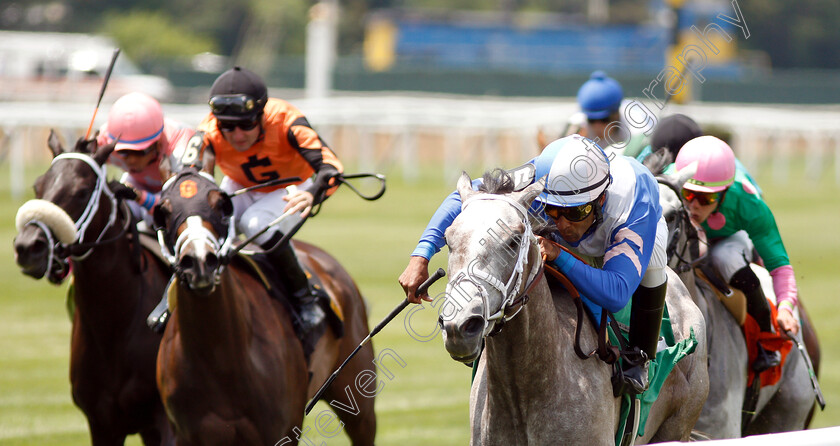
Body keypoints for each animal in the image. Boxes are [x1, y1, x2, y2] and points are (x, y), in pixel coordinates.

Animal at [13, 133, 174, 446]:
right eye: (38, 185)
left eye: (82, 191)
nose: (28, 246)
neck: (116, 324)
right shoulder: (102, 422)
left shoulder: (166, 422)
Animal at [153, 166, 376, 444]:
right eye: (163, 212)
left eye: (221, 206)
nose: (199, 262)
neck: (219, 358)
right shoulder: (185, 434)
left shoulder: (282, 431)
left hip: (357, 398)